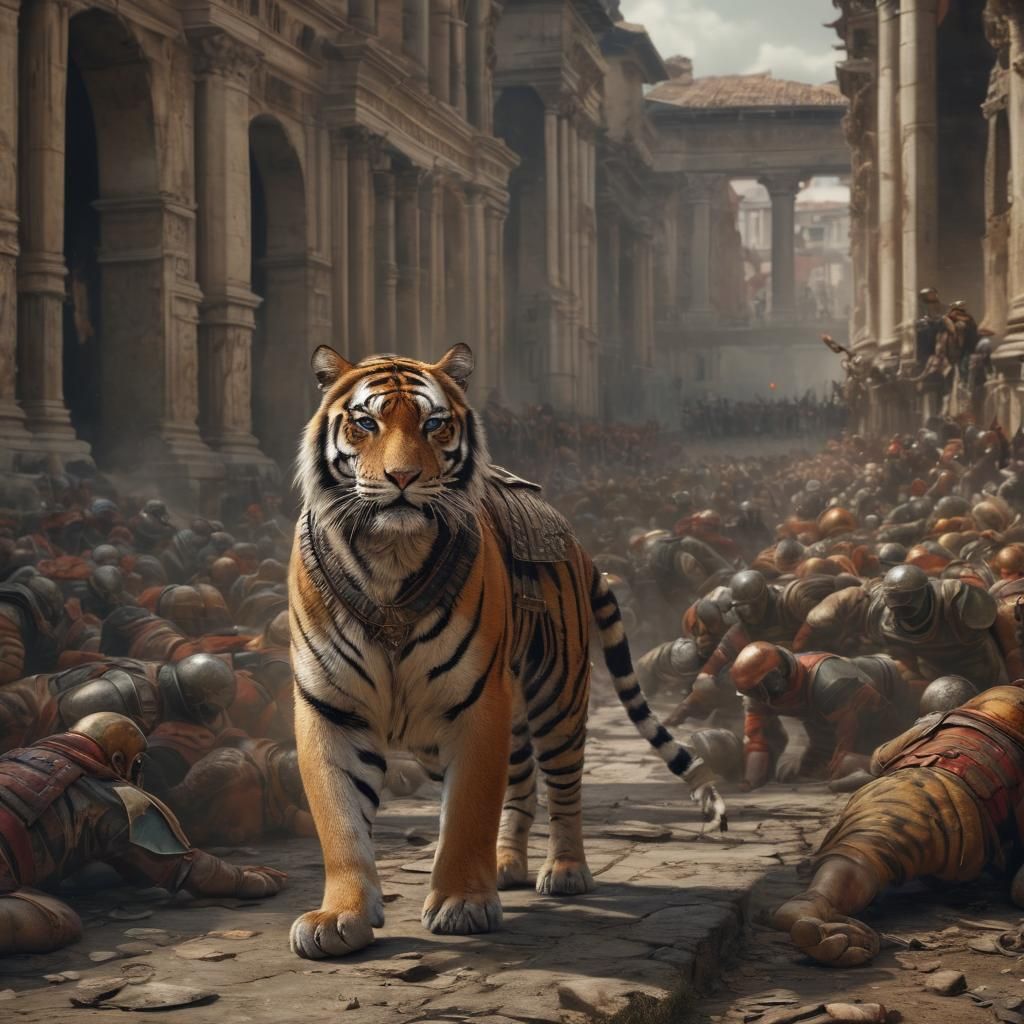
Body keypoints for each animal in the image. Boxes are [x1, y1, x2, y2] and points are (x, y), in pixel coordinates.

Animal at [288, 342, 726, 960]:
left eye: (434, 424)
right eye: (365, 423)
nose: (402, 477)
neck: (390, 556)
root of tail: (578, 543)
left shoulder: (475, 706)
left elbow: (468, 811)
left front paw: (462, 903)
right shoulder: (331, 709)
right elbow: (340, 818)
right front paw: (339, 917)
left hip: (556, 696)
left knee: (562, 786)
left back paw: (565, 870)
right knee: (520, 784)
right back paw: (506, 864)